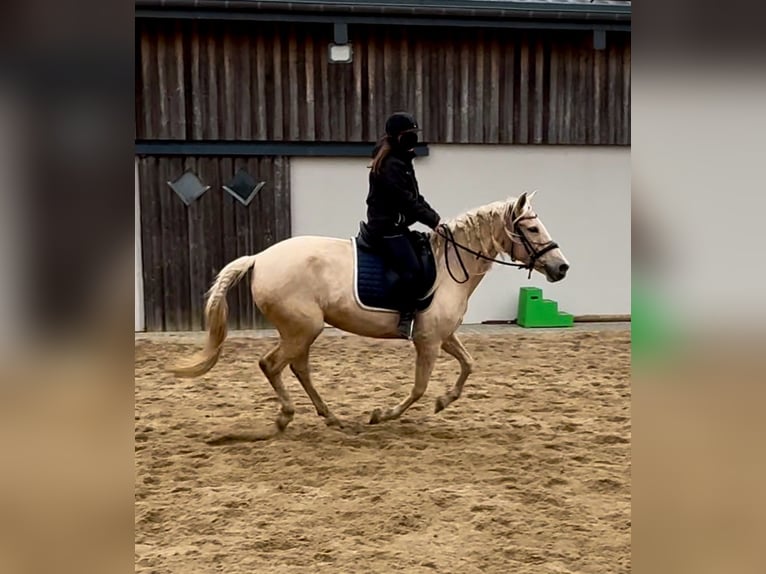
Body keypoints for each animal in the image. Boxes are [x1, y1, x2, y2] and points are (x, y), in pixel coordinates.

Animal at [172, 191, 568, 434]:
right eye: (532, 228)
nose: (562, 268)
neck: (449, 265)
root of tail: (259, 258)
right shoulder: (427, 341)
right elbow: (419, 388)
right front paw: (382, 414)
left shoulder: (444, 336)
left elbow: (469, 365)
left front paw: (444, 401)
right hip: (302, 328)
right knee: (272, 365)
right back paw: (287, 417)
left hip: (301, 331)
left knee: (297, 368)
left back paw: (331, 417)